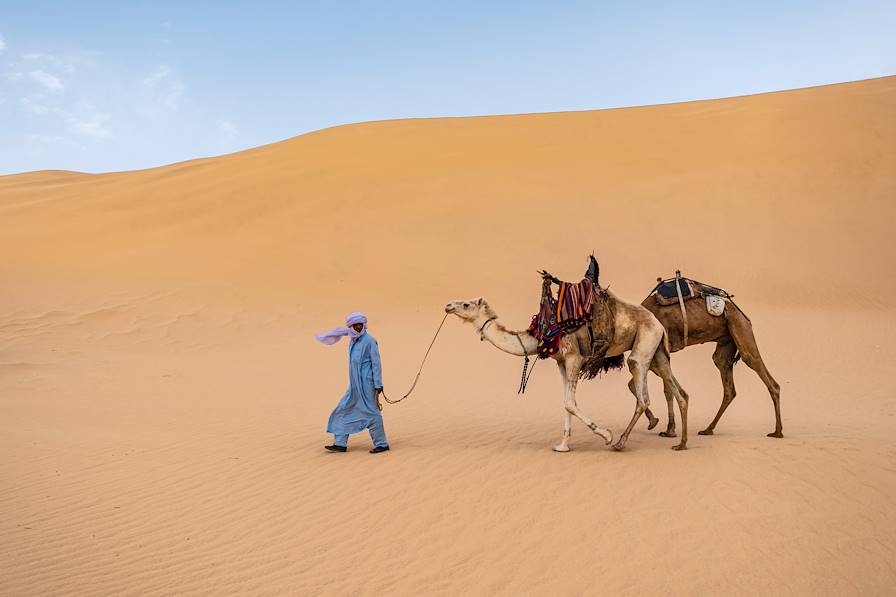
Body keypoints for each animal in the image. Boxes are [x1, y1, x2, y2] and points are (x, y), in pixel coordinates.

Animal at [444, 288, 688, 448]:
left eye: (466, 304)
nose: (448, 305)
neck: (541, 333)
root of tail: (658, 322)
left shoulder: (573, 358)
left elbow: (570, 403)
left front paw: (606, 435)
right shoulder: (561, 362)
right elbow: (566, 402)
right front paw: (563, 445)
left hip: (644, 344)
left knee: (642, 392)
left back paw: (620, 442)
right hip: (657, 350)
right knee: (676, 390)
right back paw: (679, 441)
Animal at [640, 284, 780, 438]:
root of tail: (742, 315)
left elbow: (665, 388)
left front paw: (665, 428)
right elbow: (662, 388)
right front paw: (664, 427)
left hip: (741, 327)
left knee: (755, 364)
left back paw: (777, 431)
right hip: (727, 341)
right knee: (727, 381)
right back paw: (708, 429)